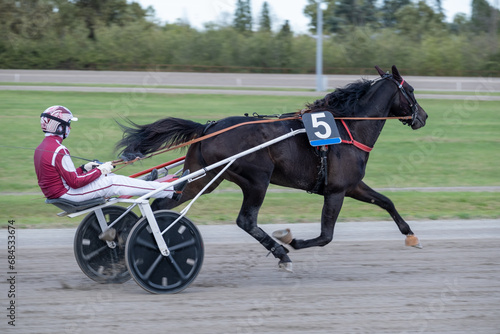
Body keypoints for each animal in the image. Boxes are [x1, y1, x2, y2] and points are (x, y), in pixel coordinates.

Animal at [116, 65, 426, 272]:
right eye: (410, 91)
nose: (422, 116)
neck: (346, 129)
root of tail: (208, 127)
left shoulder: (352, 185)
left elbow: (386, 201)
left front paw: (410, 234)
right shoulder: (336, 190)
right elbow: (326, 236)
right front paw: (292, 241)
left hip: (204, 177)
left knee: (162, 203)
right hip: (256, 179)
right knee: (246, 221)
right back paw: (280, 252)